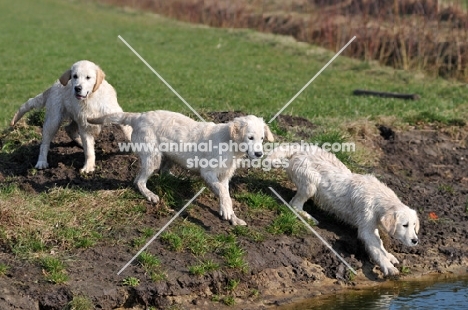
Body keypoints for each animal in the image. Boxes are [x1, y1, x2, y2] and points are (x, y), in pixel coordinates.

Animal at [88, 111, 274, 225]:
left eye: (262, 138)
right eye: (250, 138)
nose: (259, 154)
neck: (229, 143)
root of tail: (139, 116)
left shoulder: (224, 177)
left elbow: (226, 194)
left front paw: (233, 217)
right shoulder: (208, 172)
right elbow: (223, 193)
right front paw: (227, 212)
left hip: (170, 155)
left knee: (164, 173)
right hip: (153, 157)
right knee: (138, 181)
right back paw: (149, 194)